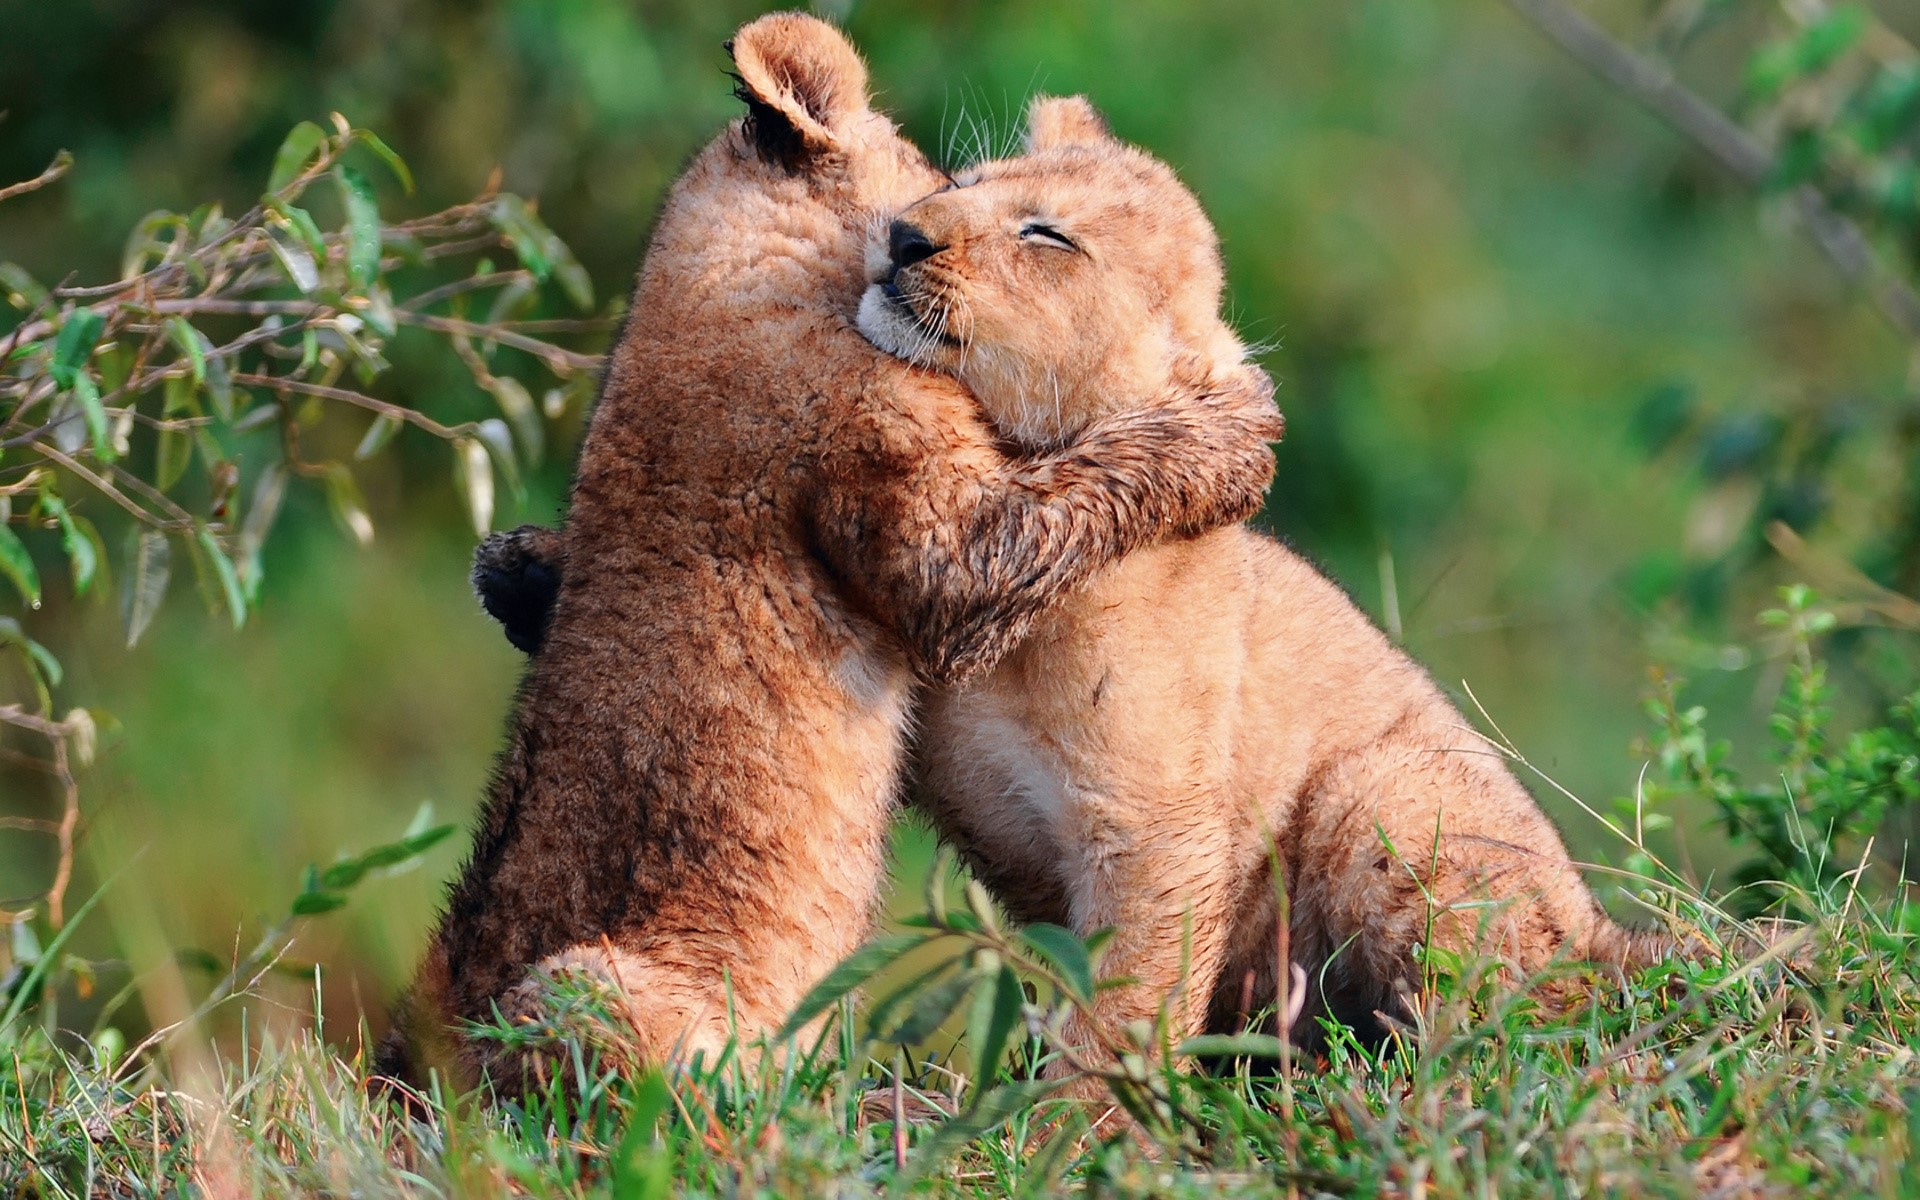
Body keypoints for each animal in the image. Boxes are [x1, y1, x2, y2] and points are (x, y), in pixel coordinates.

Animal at [378, 17, 1282, 1090]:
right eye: (950, 177)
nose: (912, 236)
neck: (712, 263)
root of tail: (412, 1083)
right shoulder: (940, 537)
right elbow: (1089, 484)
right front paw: (1238, 429)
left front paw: (521, 570)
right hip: (577, 990)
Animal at [473, 94, 1677, 1076]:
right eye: (964, 182)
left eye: (1049, 235)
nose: (904, 233)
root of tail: (1605, 931)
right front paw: (524, 568)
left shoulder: (1154, 825)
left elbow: (1125, 1010)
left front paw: (1066, 1132)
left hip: (1383, 797)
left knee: (1505, 1026)